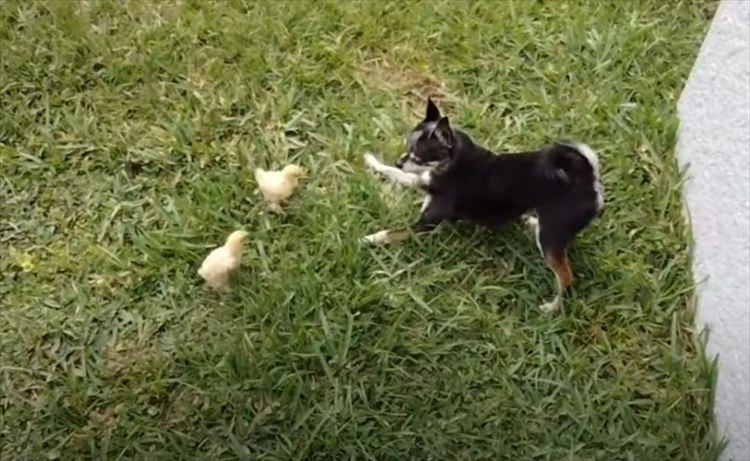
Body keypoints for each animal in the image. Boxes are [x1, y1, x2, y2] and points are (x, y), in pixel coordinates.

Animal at [364, 98, 604, 310]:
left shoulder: (425, 225)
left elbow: (391, 232)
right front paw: (374, 162)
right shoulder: (422, 180)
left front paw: (367, 239)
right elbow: (399, 175)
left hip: (550, 241)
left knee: (566, 277)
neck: (451, 162)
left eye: (418, 157)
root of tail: (587, 179)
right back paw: (531, 222)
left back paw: (553, 307)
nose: (399, 161)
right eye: (407, 150)